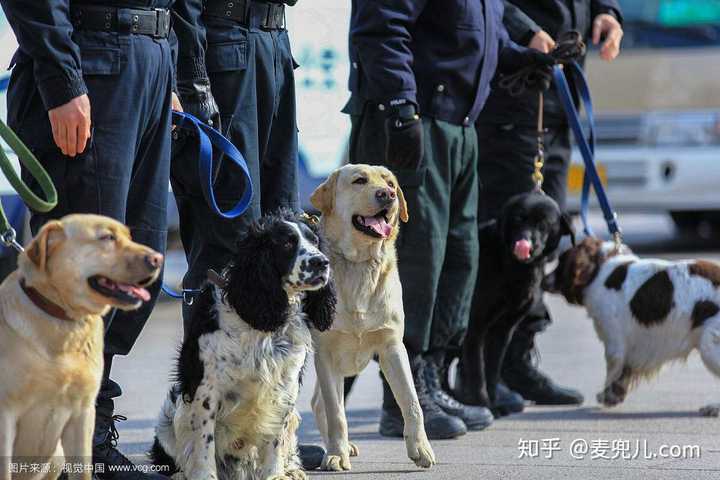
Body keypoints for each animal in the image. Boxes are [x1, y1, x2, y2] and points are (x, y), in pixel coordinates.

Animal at [456, 193, 572, 414]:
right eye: (518, 219)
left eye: (543, 224)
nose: (525, 243)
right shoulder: (475, 328)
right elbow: (477, 372)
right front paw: (484, 406)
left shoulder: (502, 330)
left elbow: (492, 372)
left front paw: (493, 403)